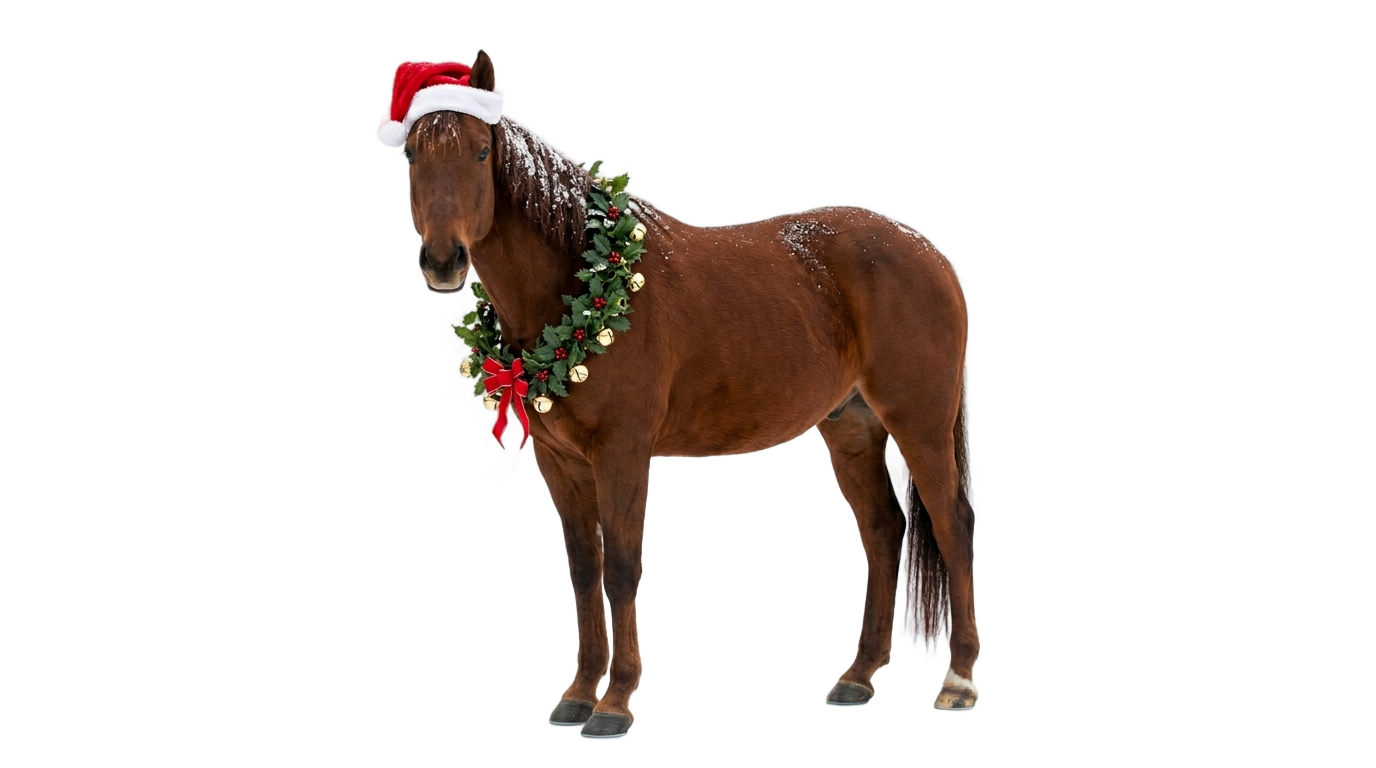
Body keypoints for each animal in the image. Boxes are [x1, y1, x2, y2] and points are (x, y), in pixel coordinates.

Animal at [406, 52, 976, 737]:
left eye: (481, 150)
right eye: (411, 153)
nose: (443, 260)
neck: (584, 285)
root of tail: (927, 252)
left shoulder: (622, 454)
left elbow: (623, 570)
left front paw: (615, 702)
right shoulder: (560, 462)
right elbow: (584, 570)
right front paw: (578, 693)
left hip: (920, 422)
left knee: (952, 525)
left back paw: (959, 681)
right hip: (854, 429)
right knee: (883, 531)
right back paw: (859, 677)